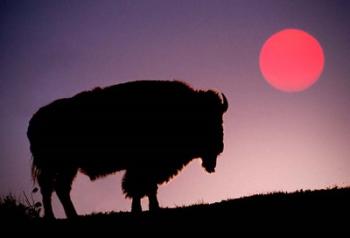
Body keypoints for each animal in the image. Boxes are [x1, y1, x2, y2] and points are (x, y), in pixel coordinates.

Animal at [28, 81, 230, 218]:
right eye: (210, 119)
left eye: (219, 117)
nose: (220, 147)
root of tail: (34, 121)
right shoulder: (142, 166)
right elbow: (140, 187)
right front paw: (147, 208)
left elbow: (144, 188)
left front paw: (145, 208)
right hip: (60, 166)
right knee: (52, 188)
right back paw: (57, 217)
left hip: (67, 167)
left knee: (57, 188)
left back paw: (69, 216)